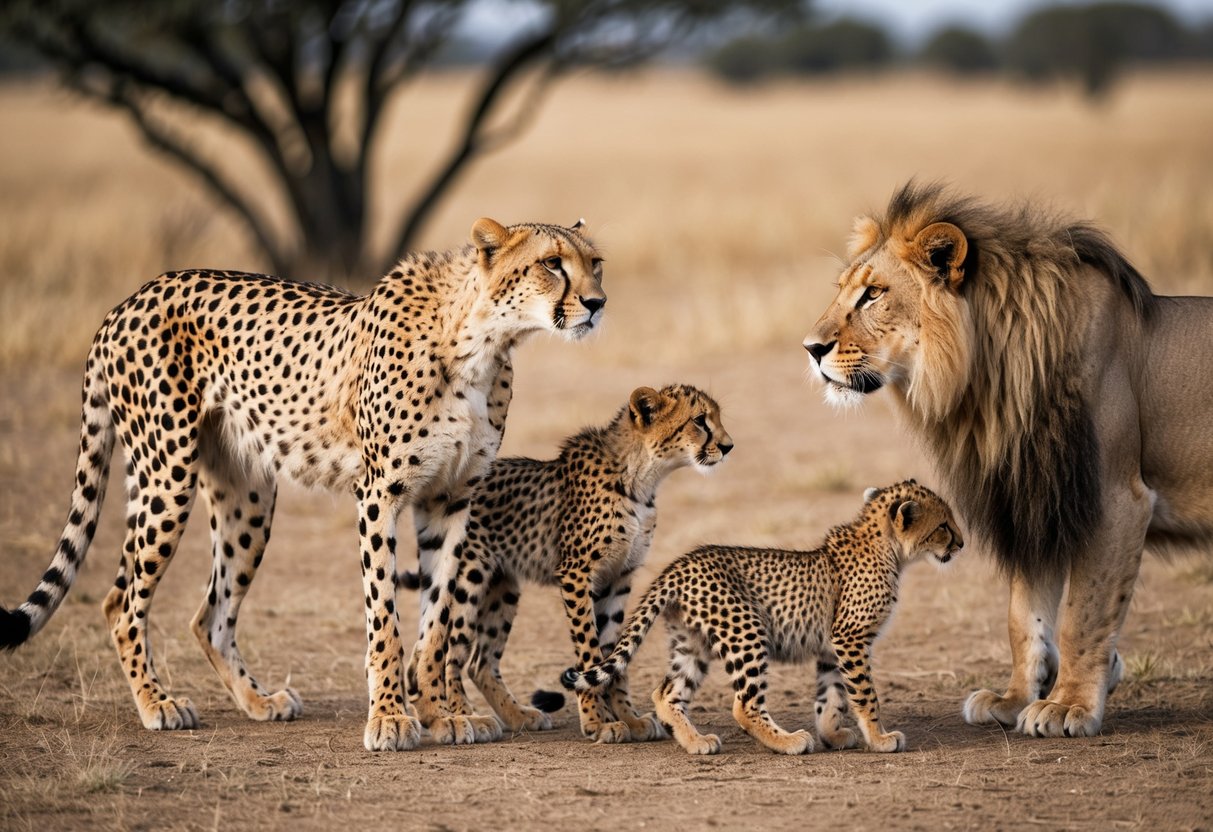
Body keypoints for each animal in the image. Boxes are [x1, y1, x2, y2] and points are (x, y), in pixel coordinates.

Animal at [803, 181, 1213, 738]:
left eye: (874, 294)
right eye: (845, 288)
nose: (810, 348)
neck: (989, 381)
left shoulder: (1114, 499)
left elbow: (1083, 613)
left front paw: (1069, 705)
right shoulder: (1032, 493)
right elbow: (1024, 617)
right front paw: (1016, 697)